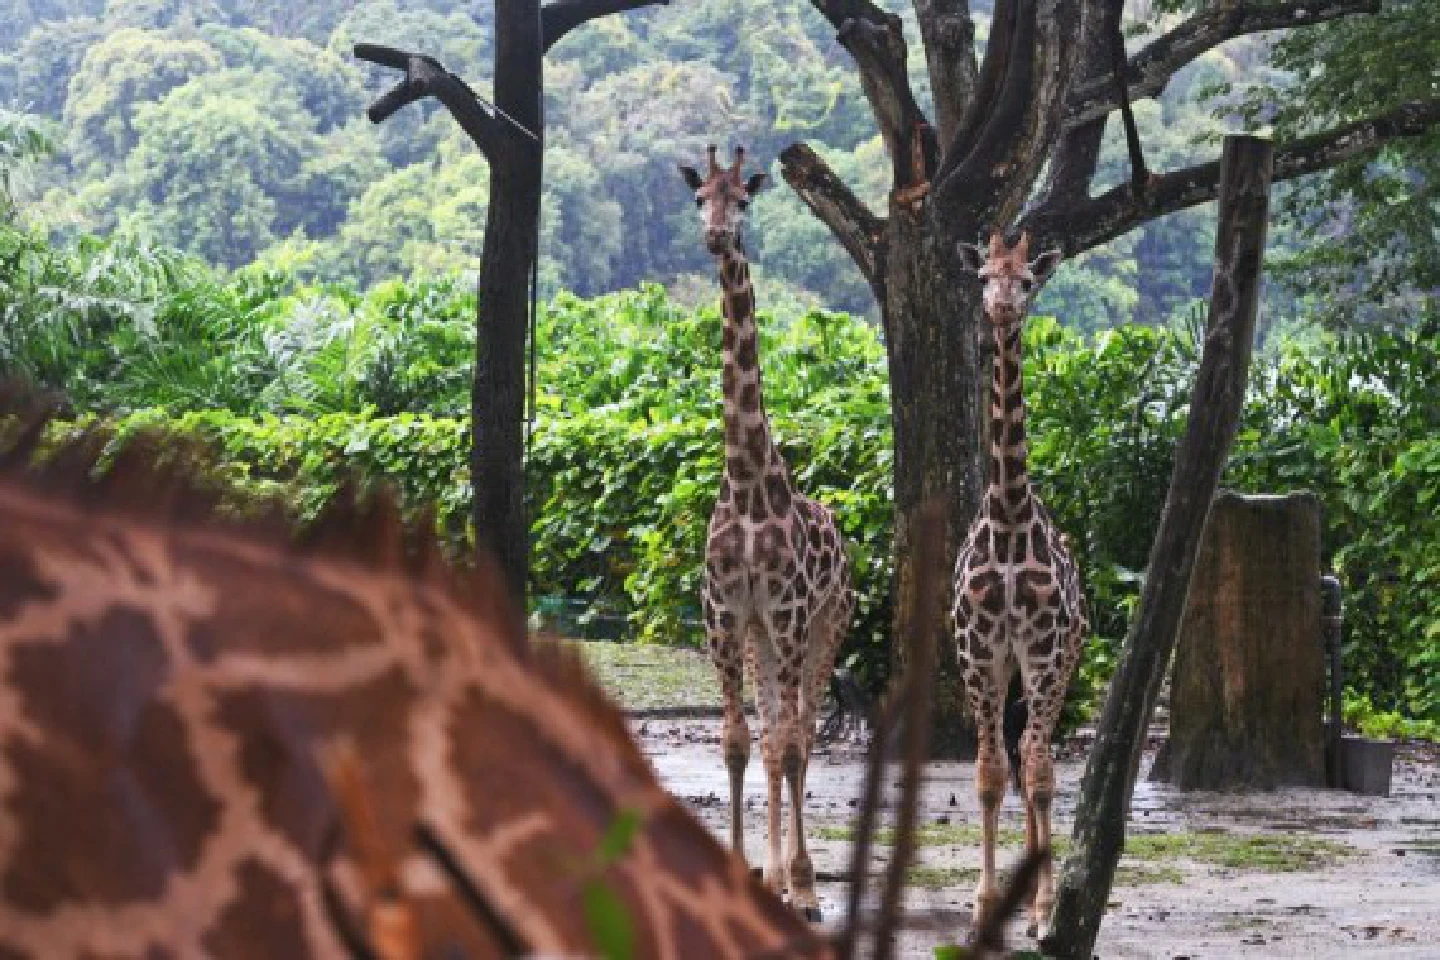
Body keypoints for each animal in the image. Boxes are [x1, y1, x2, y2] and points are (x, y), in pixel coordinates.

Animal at [0, 393, 834, 960]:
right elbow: (745, 741)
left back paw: (795, 882)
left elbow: (775, 742)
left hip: (807, 638)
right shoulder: (730, 622)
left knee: (794, 735)